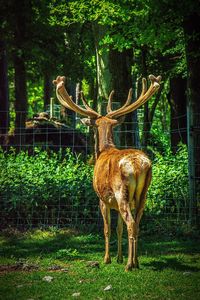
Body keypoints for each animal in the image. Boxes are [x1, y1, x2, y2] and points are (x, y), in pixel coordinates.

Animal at [53, 74, 161, 270]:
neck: (105, 149)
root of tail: (137, 165)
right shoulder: (115, 204)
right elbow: (118, 228)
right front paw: (118, 257)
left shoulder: (102, 198)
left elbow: (106, 228)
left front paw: (107, 259)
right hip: (144, 193)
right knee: (137, 223)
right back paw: (136, 261)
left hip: (121, 191)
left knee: (131, 223)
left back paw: (129, 265)